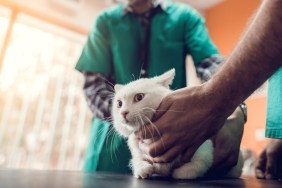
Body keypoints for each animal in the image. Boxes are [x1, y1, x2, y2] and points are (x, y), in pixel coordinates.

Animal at [112, 68, 242, 179]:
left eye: (139, 97)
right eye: (119, 104)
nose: (123, 113)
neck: (151, 139)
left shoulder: (204, 150)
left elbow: (191, 170)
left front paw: (177, 172)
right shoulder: (137, 149)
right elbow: (137, 161)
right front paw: (143, 168)